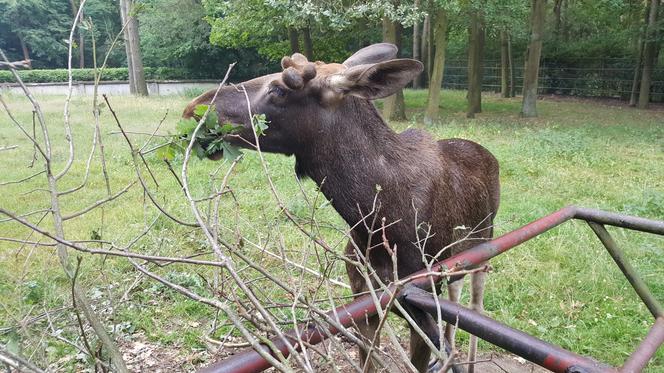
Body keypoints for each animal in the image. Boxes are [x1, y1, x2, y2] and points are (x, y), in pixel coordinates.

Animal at [183, 42, 498, 370]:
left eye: (279, 89)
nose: (194, 107)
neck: (376, 222)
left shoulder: (420, 303)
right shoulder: (363, 299)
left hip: (485, 247)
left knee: (475, 305)